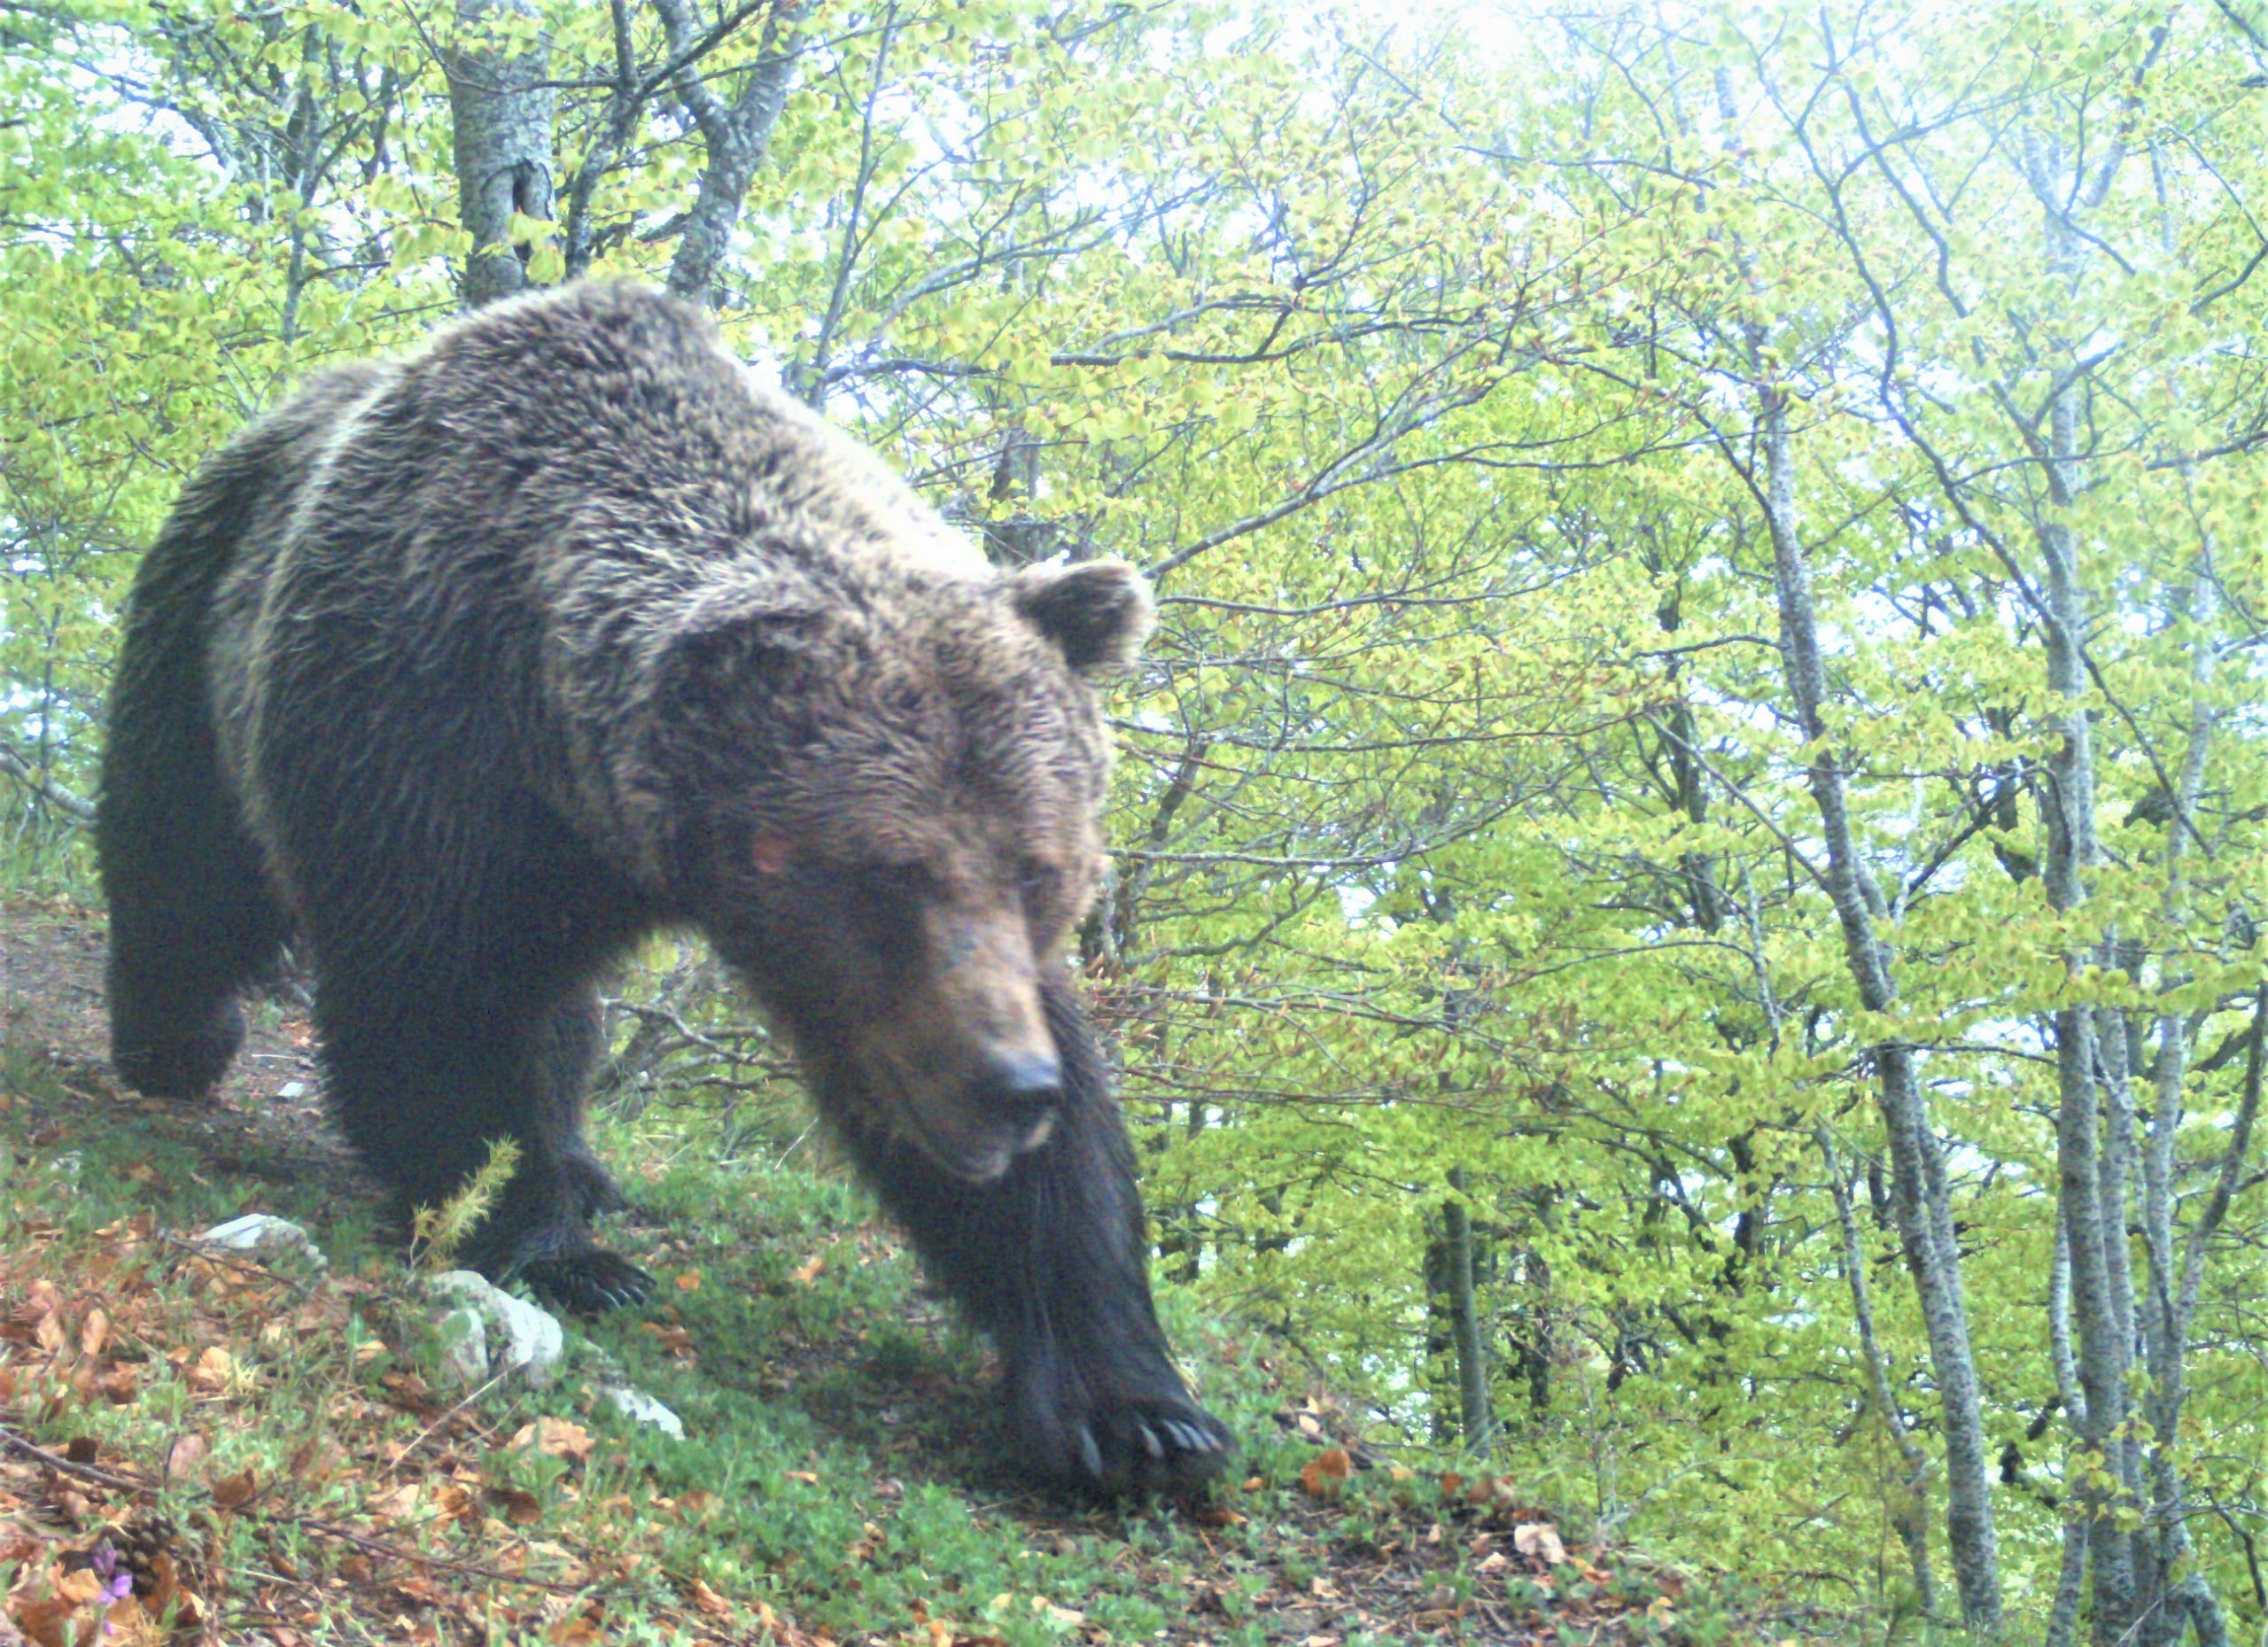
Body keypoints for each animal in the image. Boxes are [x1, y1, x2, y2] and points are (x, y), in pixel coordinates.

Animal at [92, 280, 1224, 1497]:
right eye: (889, 870)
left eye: (1039, 865)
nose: (1009, 1085)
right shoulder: (425, 740)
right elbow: (441, 996)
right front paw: (555, 1247)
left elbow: (1057, 1171)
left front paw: (1137, 1412)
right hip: (202, 628)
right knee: (186, 862)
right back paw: (174, 1038)